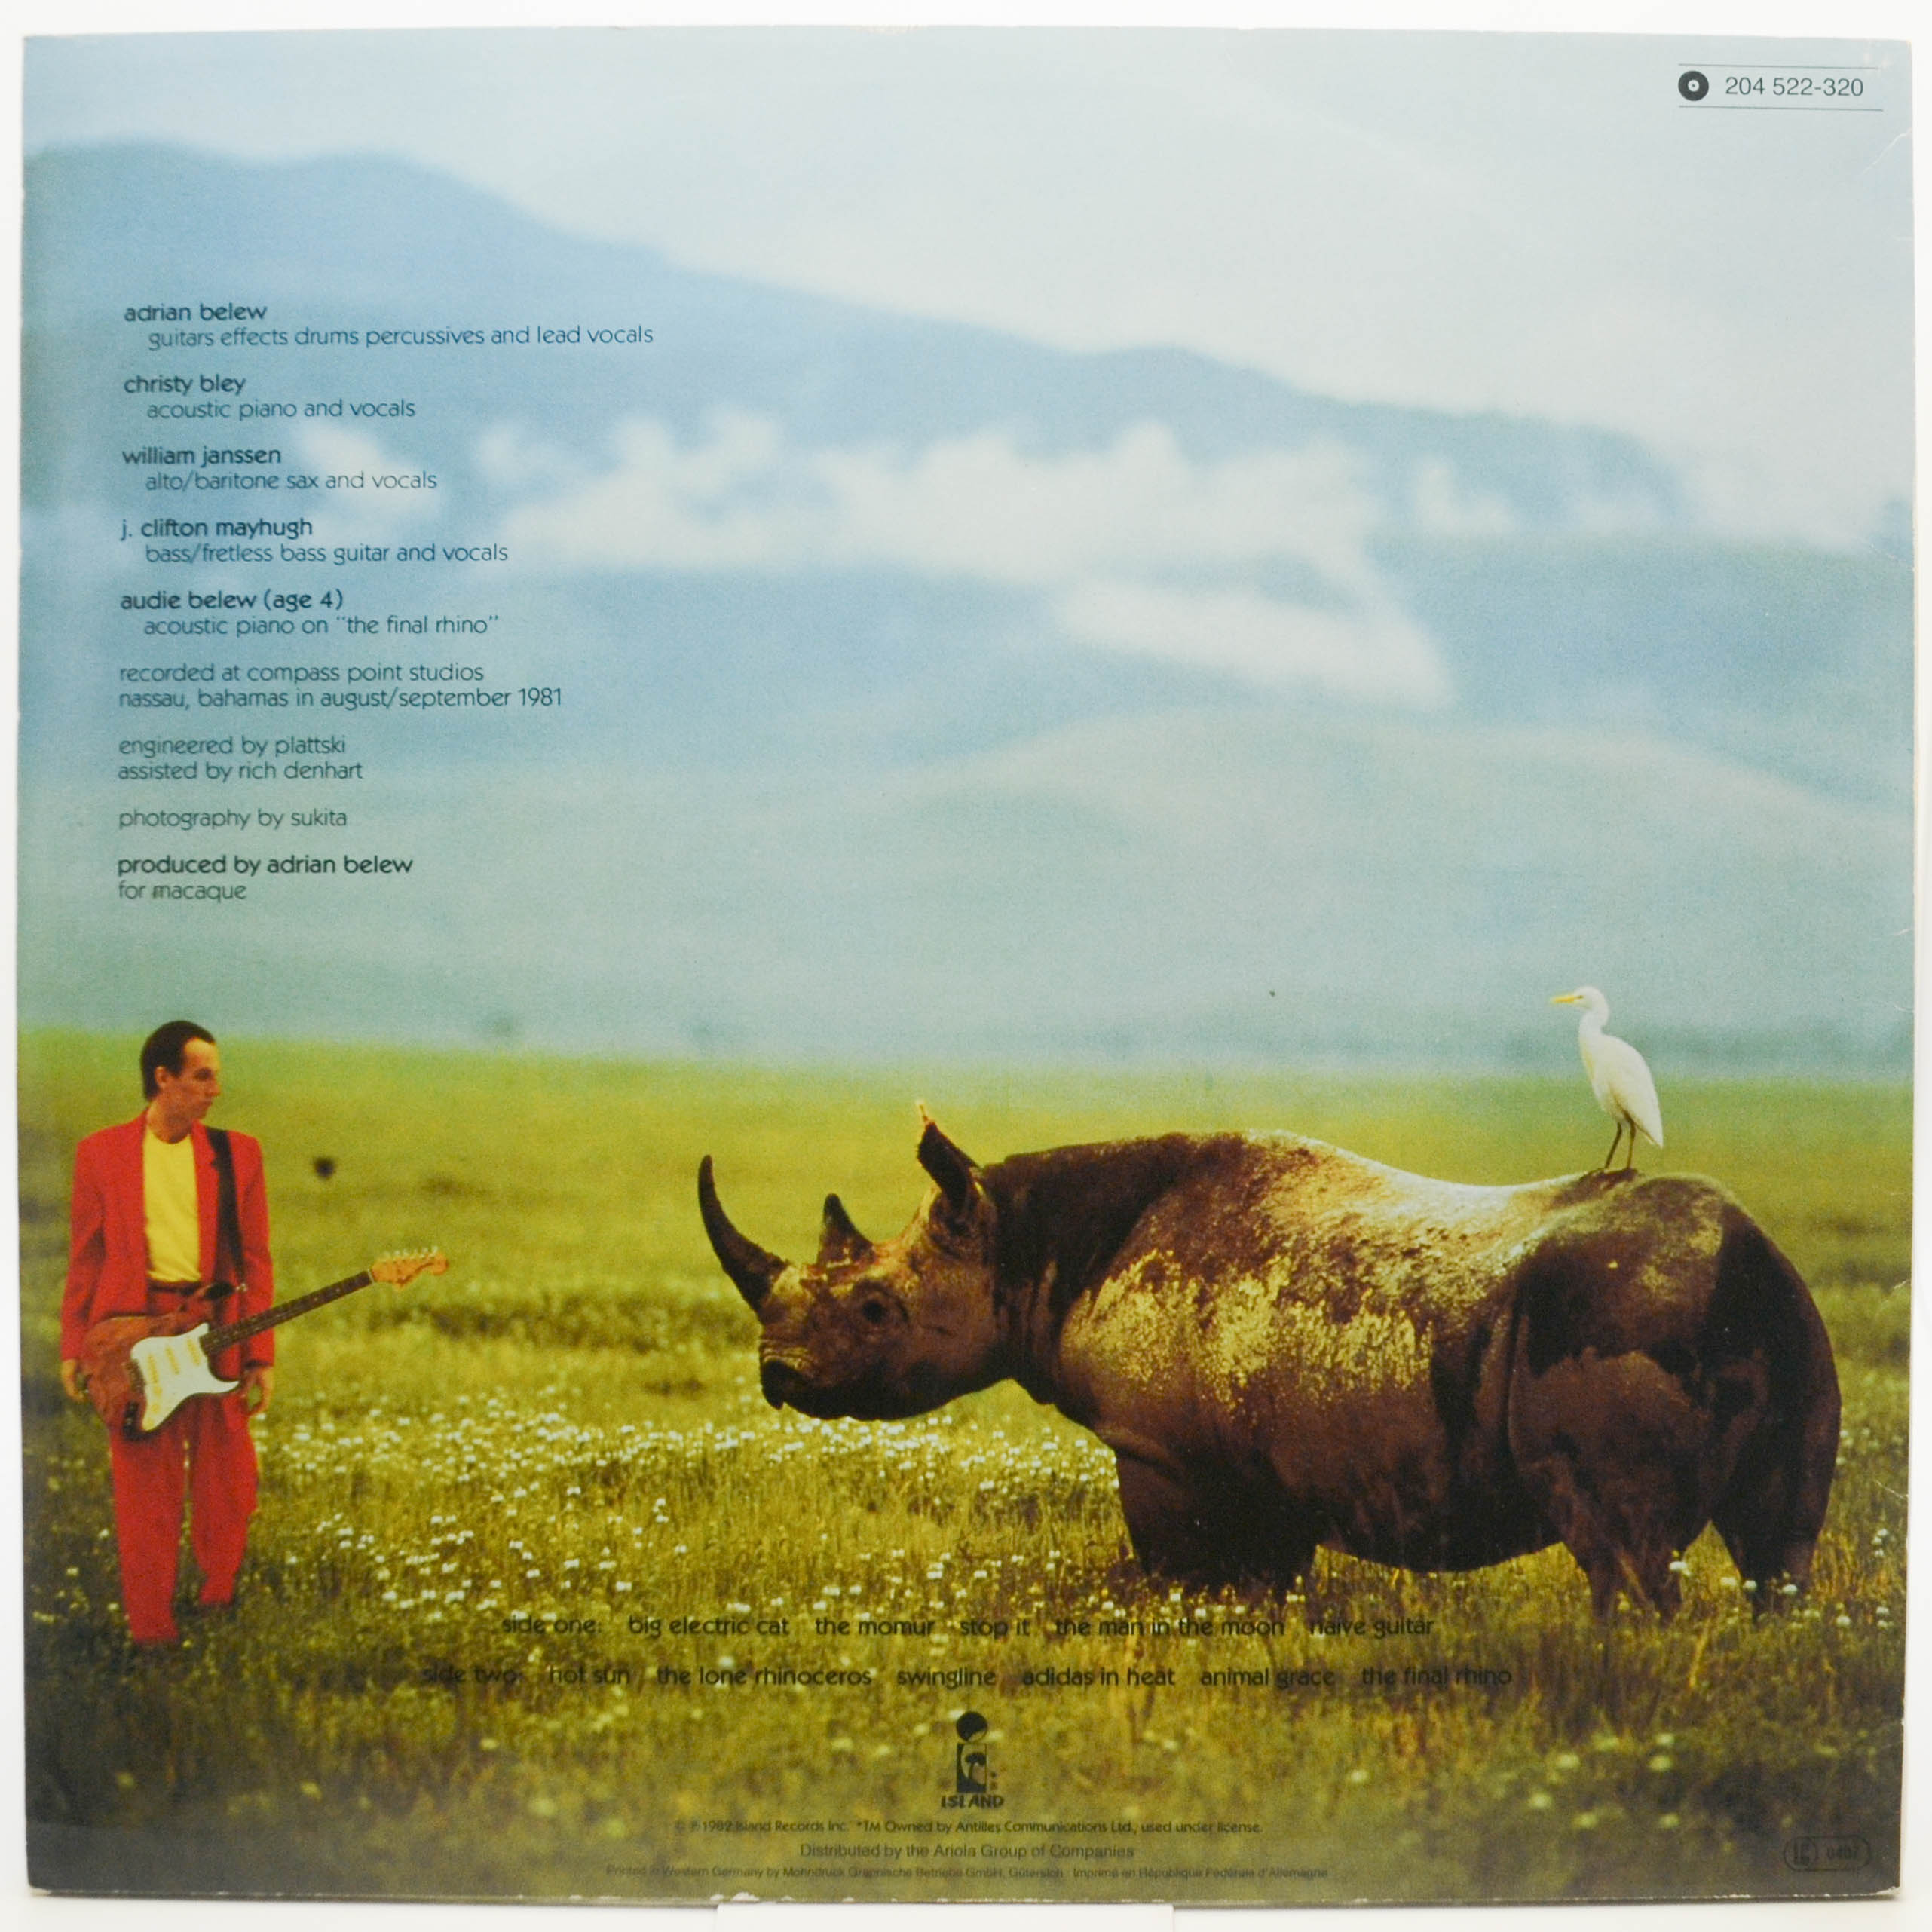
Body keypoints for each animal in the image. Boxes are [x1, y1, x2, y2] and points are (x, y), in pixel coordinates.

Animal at [698, 1118, 1840, 1618]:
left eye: (874, 1309)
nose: (778, 1375)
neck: (1025, 1247)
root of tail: (1742, 1257)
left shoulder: (1159, 1450)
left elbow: (1180, 1574)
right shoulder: (1267, 1456)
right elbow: (1268, 1582)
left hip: (1618, 1308)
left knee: (1621, 1547)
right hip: (1787, 1327)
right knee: (1776, 1549)